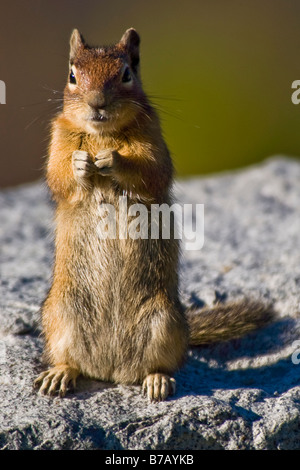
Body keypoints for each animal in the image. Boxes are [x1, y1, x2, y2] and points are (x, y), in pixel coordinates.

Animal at [34, 28, 274, 400]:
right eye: (72, 76)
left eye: (126, 74)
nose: (97, 103)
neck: (102, 134)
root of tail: (111, 369)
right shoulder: (58, 139)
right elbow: (58, 174)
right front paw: (80, 163)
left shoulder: (154, 140)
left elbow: (152, 170)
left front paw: (112, 159)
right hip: (60, 315)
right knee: (70, 360)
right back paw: (59, 374)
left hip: (163, 319)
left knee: (160, 364)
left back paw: (157, 380)